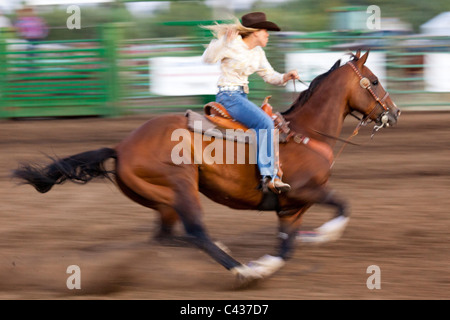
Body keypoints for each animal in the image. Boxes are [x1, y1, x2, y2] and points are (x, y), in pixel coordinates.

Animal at [12, 50, 400, 284]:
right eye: (374, 81)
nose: (394, 113)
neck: (304, 133)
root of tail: (121, 148)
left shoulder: (291, 209)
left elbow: (286, 247)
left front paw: (281, 255)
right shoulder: (307, 191)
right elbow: (342, 206)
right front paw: (314, 240)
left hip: (163, 200)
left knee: (168, 237)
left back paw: (229, 254)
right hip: (181, 186)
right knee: (196, 232)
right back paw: (240, 269)